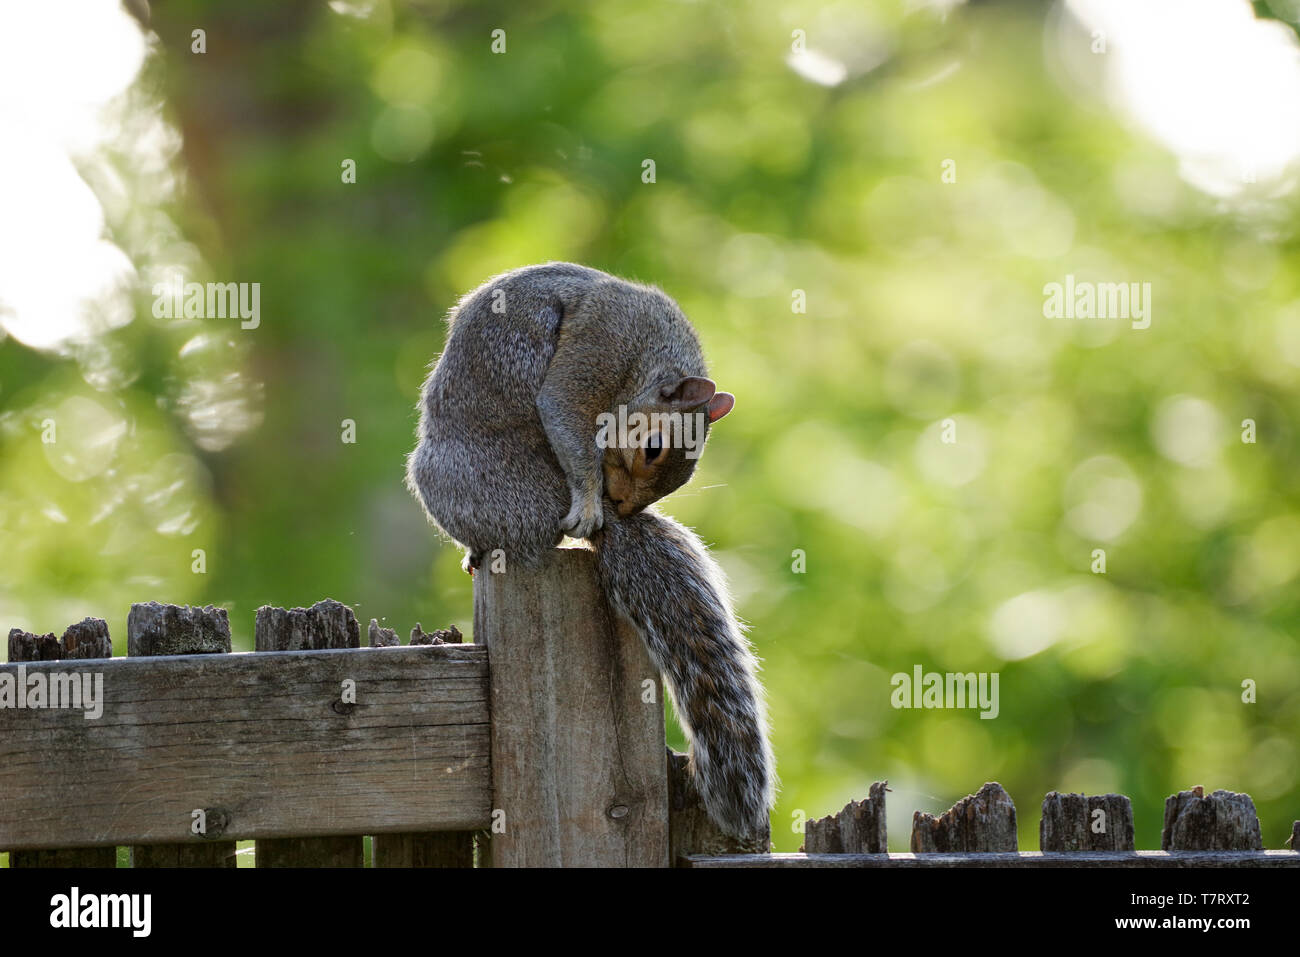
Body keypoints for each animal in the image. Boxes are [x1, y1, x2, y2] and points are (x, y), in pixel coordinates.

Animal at [403, 260, 769, 837]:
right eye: (654, 447)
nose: (621, 506)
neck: (647, 357)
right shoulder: (603, 346)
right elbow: (569, 420)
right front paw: (591, 495)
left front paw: (588, 500)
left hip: (447, 479)